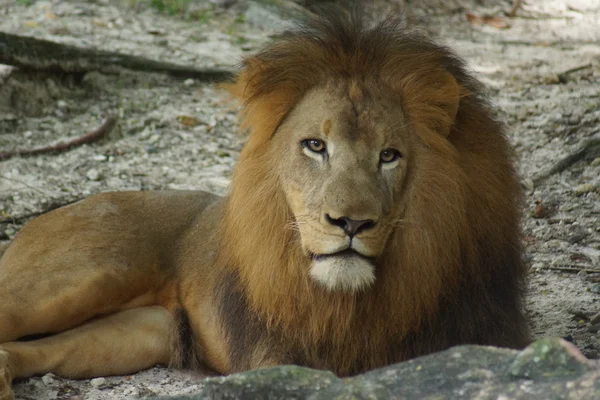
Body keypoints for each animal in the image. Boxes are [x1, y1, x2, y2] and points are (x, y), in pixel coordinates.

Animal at [2, 9, 532, 400]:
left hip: (137, 331)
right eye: (315, 146)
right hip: (74, 279)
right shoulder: (275, 358)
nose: (351, 222)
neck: (354, 305)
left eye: (389, 155)